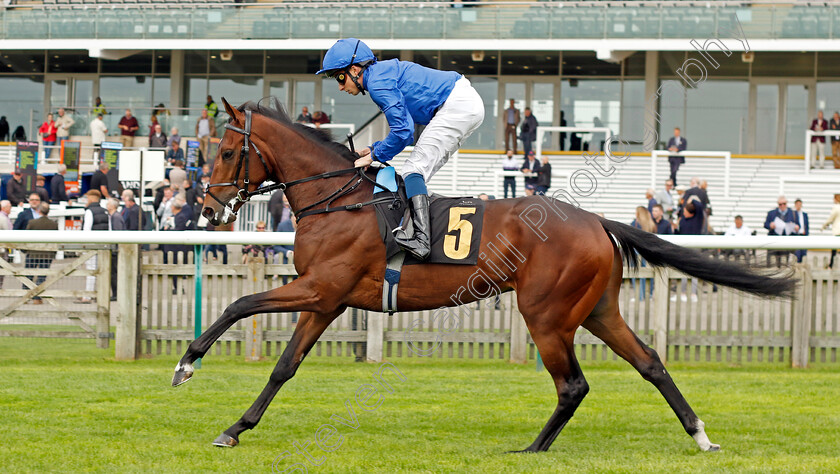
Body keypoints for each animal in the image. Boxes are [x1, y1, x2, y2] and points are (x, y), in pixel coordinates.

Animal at [172, 98, 796, 454]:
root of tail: (596, 218)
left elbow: (237, 305)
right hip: (598, 309)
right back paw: (700, 435)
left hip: (546, 314)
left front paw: (186, 364)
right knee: (650, 362)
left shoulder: (320, 288)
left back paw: (532, 449)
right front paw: (234, 428)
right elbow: (284, 367)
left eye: (224, 152)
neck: (339, 199)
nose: (207, 210)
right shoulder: (327, 300)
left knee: (573, 385)